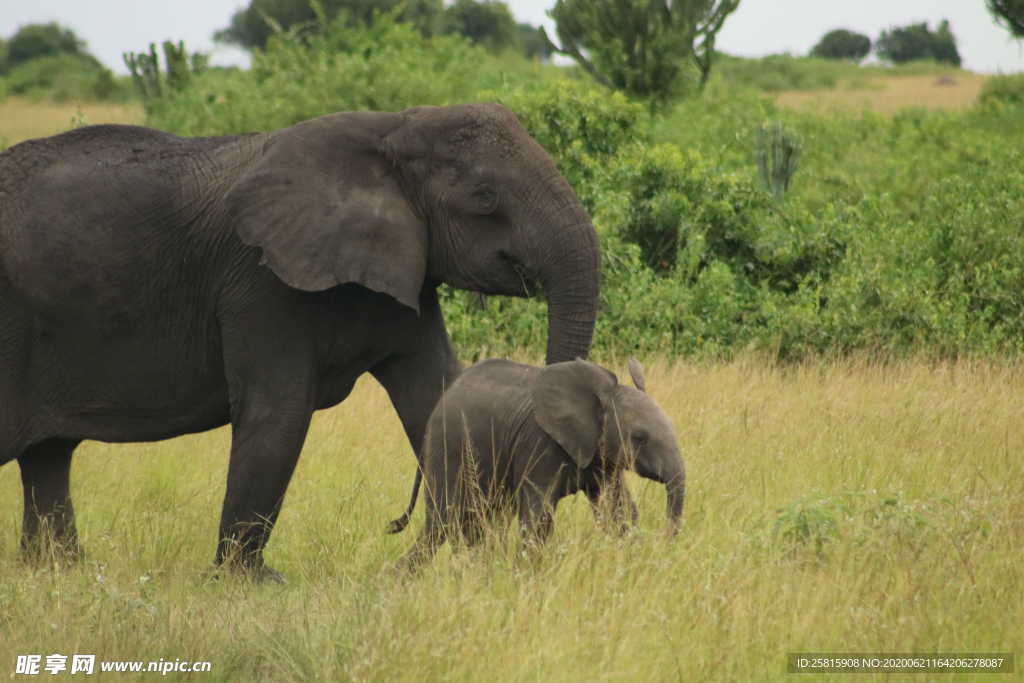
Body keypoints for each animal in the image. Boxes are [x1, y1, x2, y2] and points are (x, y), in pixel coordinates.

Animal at [0, 102, 598, 581]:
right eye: (485, 198)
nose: (394, 527)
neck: (391, 129)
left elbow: (440, 396)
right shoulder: (259, 278)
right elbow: (278, 417)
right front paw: (251, 585)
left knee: (48, 457)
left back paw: (61, 574)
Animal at [395, 358, 684, 573]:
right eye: (640, 438)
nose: (661, 543)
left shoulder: (603, 455)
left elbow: (619, 510)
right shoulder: (539, 444)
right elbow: (539, 516)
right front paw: (528, 575)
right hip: (449, 447)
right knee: (444, 520)